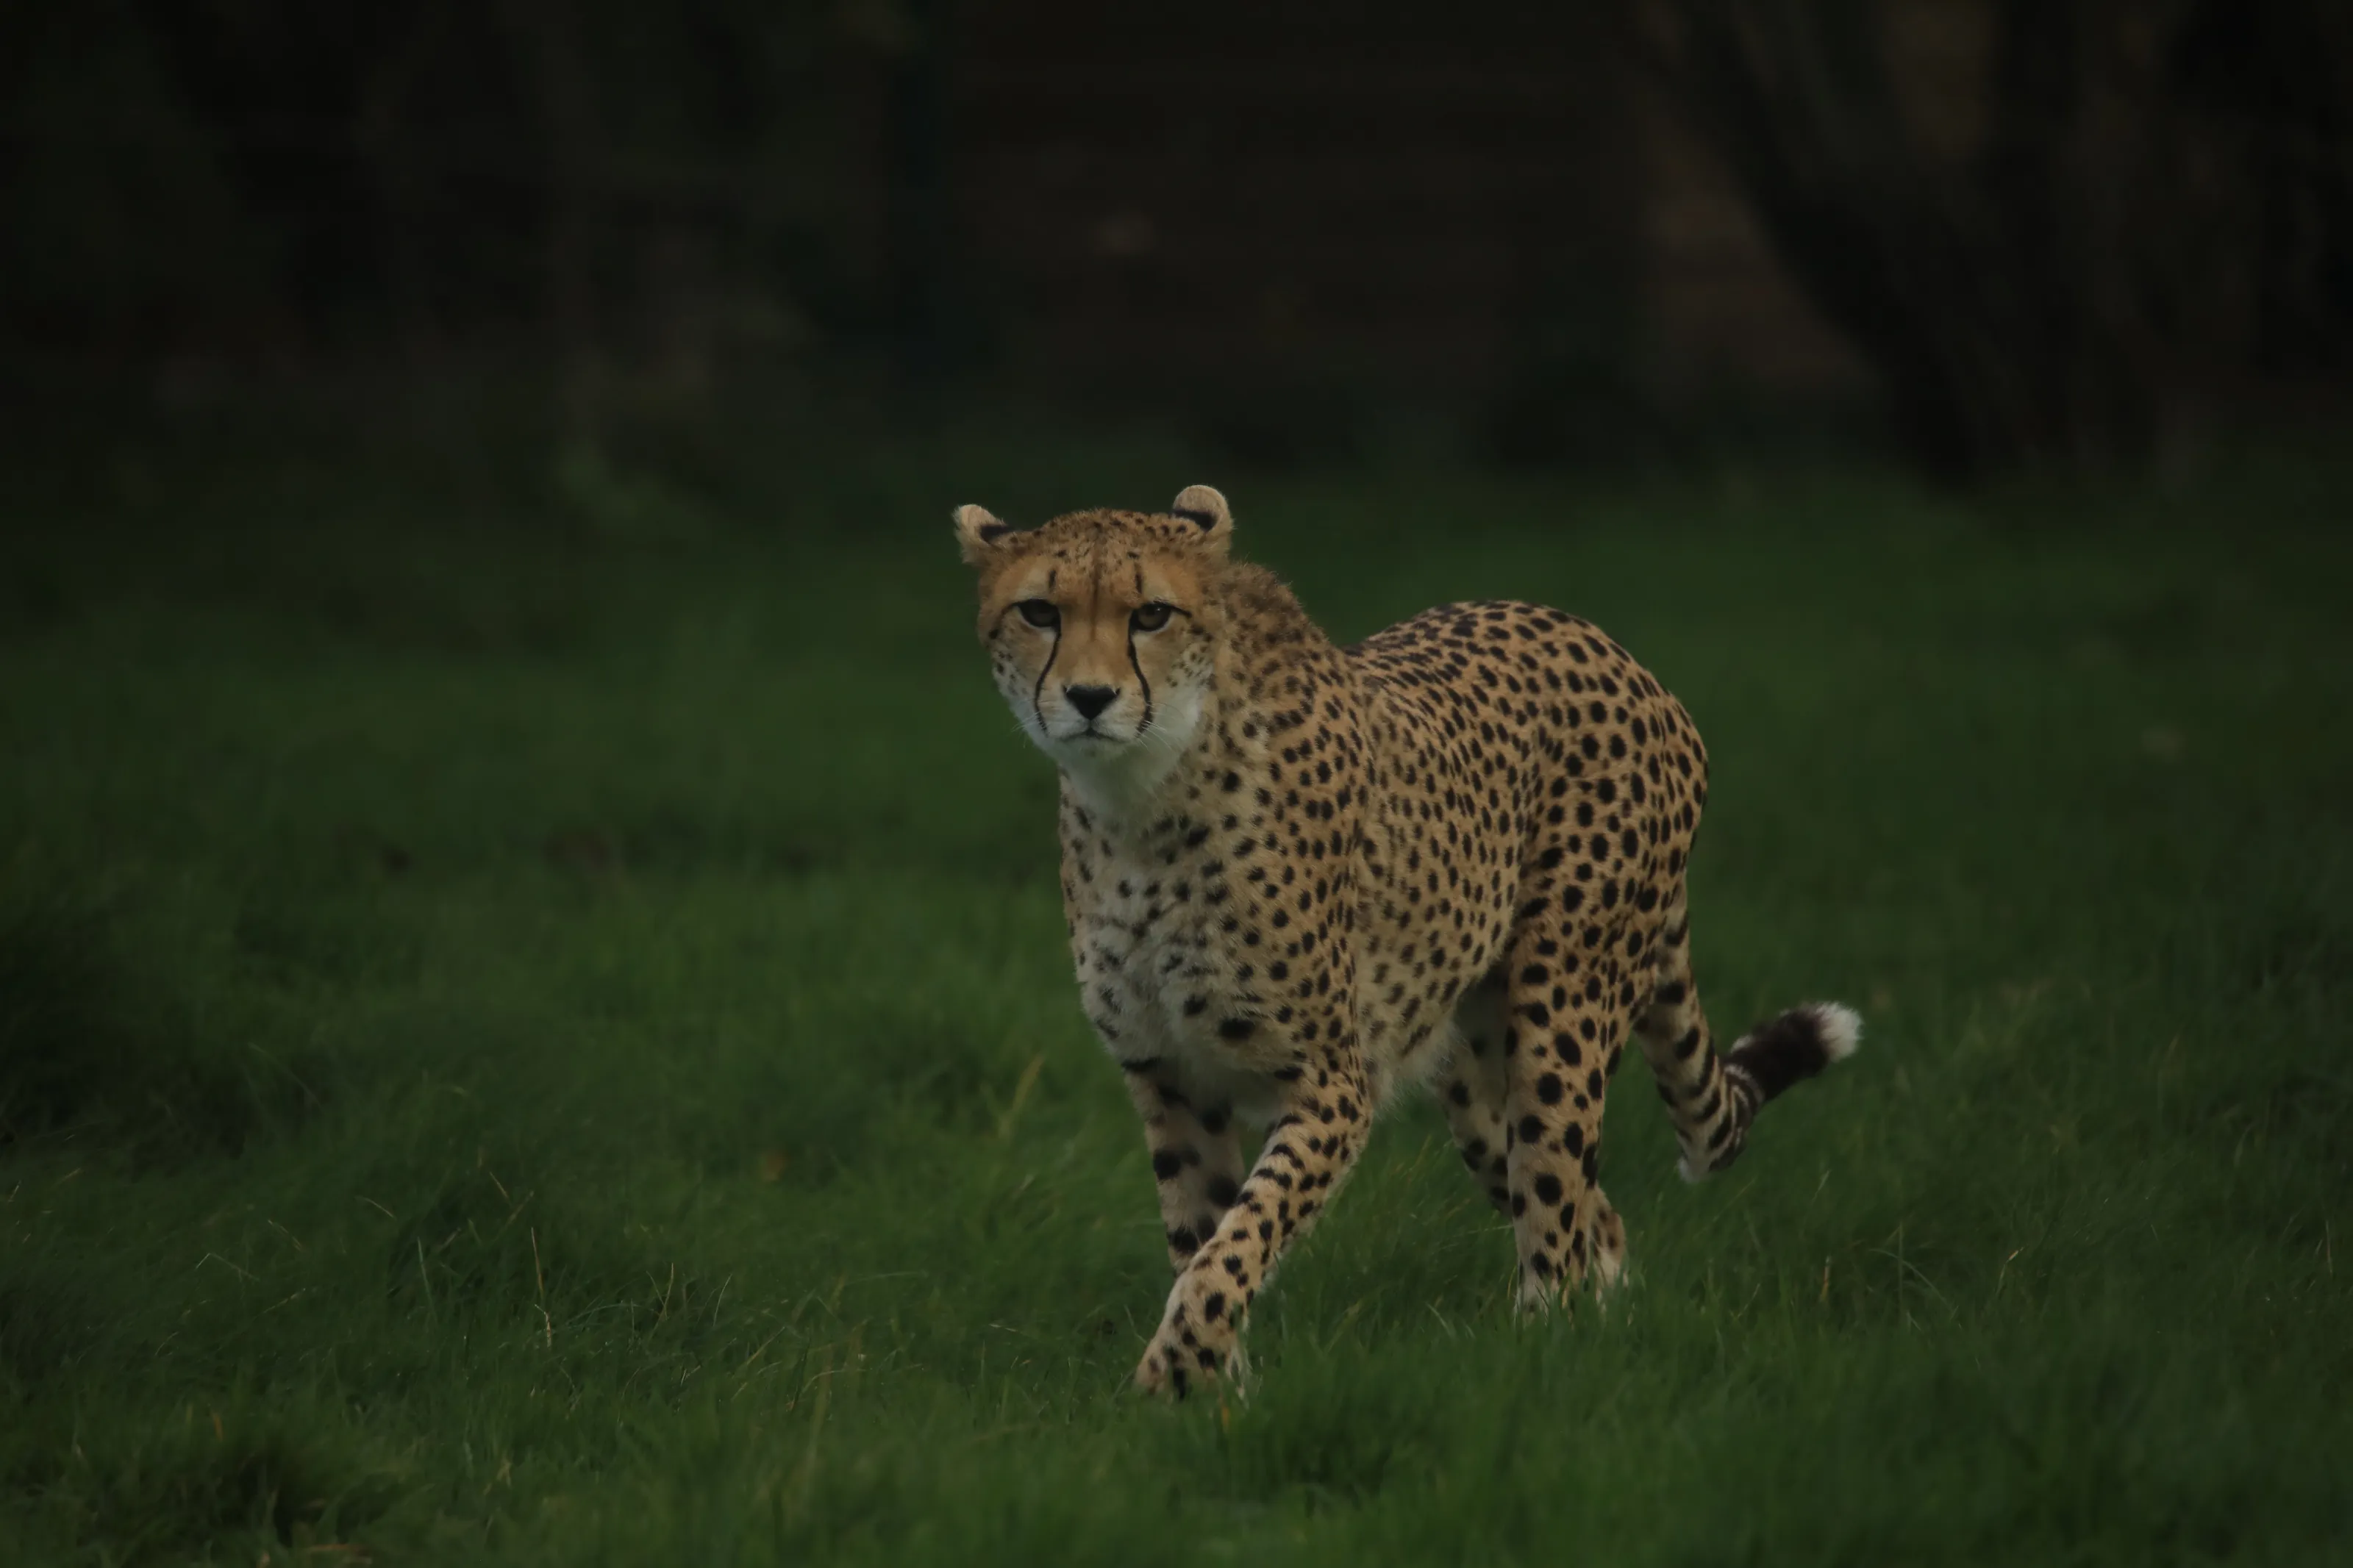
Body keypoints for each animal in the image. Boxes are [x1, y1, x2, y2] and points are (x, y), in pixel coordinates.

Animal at [953, 484, 1861, 1397]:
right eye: (1039, 611)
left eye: (1150, 615)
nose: (1089, 698)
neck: (1141, 804)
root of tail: (1610, 648)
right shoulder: (1169, 1075)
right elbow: (1199, 1236)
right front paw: (1211, 1394)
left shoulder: (1328, 1082)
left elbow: (1235, 1243)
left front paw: (1173, 1375)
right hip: (1472, 1071)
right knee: (1594, 1219)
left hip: (1559, 1018)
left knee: (1556, 1215)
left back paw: (1538, 1359)